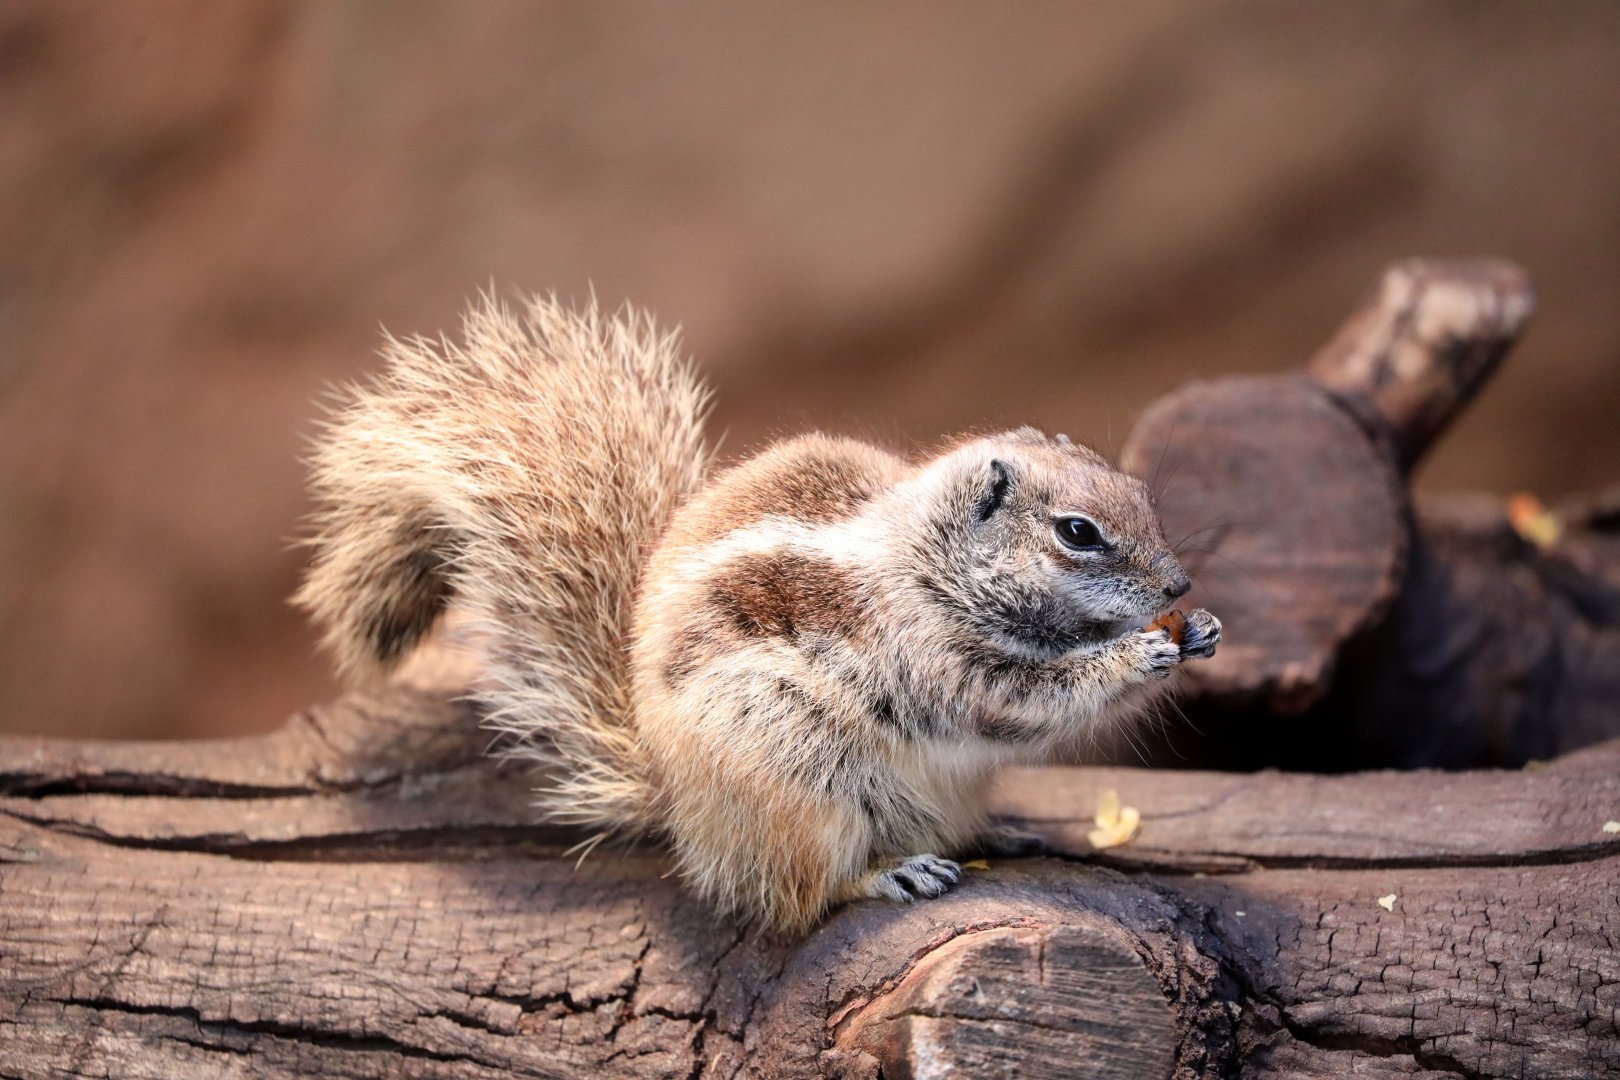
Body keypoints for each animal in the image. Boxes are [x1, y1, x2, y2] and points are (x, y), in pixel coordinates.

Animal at [296, 294, 1220, 933]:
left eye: (1140, 492)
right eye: (1078, 532)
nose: (1177, 588)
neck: (926, 561)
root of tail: (676, 802)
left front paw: (1202, 632)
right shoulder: (935, 657)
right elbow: (1026, 698)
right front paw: (1139, 655)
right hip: (795, 776)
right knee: (796, 894)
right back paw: (888, 874)